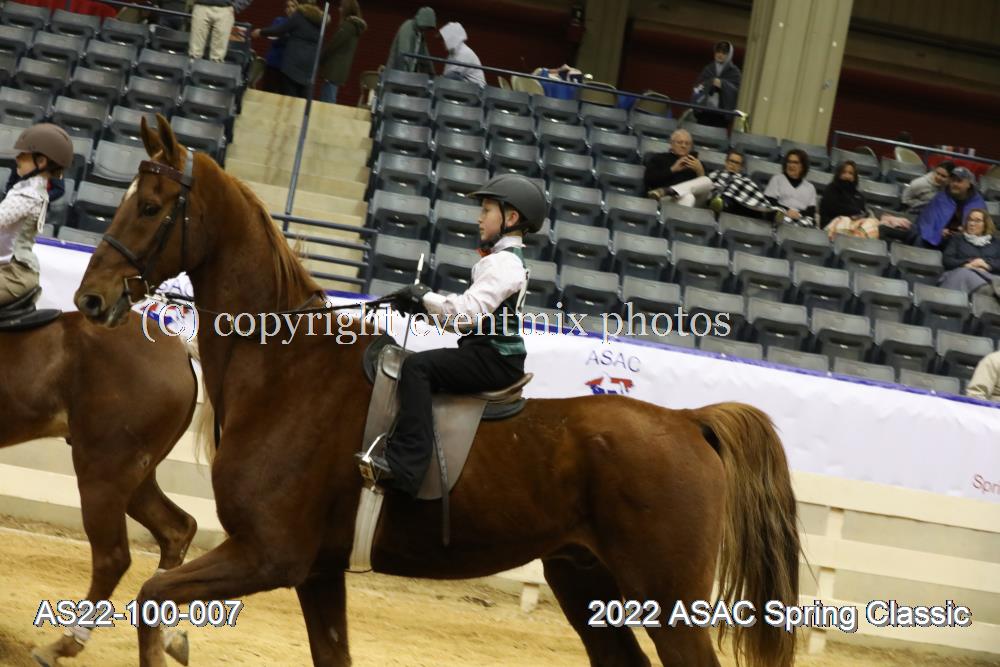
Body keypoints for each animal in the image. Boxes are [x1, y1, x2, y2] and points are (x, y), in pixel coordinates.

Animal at [0, 309, 200, 666]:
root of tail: (179, 351)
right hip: (135, 480)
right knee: (177, 528)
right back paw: (165, 637)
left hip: (102, 476)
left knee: (113, 558)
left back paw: (63, 645)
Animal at [73, 114, 801, 667]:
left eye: (148, 207)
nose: (91, 299)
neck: (286, 370)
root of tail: (688, 422)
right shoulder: (317, 573)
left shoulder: (268, 555)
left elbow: (152, 595)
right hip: (585, 582)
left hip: (668, 602)